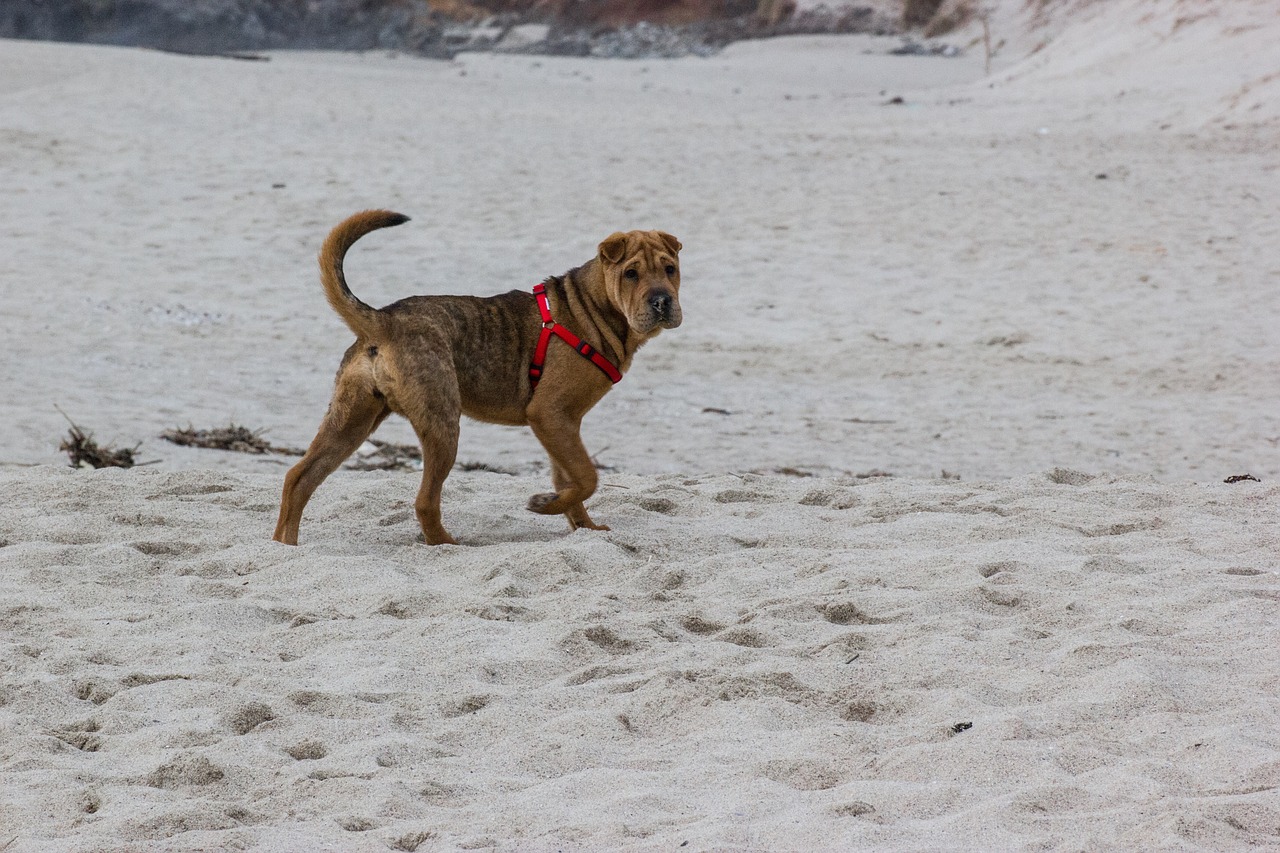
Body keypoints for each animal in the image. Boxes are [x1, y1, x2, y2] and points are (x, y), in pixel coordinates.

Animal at [270, 211, 680, 545]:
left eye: (670, 269)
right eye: (630, 274)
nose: (662, 301)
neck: (593, 308)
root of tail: (384, 320)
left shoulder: (563, 424)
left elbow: (572, 481)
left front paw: (582, 526)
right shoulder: (550, 414)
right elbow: (587, 477)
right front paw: (547, 506)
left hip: (351, 420)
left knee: (298, 478)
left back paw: (284, 546)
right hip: (441, 424)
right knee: (424, 502)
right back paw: (447, 544)